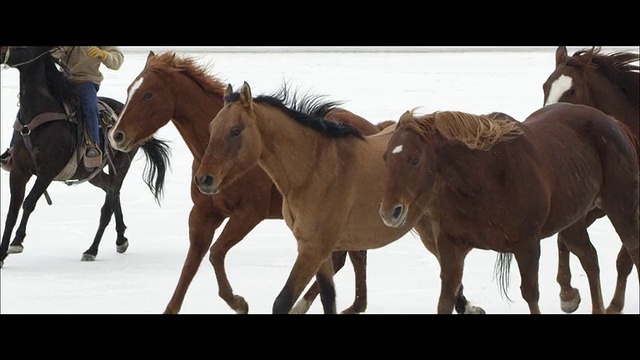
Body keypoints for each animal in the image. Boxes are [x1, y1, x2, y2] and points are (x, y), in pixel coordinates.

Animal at [0, 46, 170, 268]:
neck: (39, 115)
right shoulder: (19, 171)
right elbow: (12, 212)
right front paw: (1, 254)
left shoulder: (47, 171)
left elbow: (29, 203)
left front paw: (17, 242)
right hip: (92, 173)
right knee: (111, 193)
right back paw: (121, 239)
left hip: (121, 165)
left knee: (108, 205)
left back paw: (92, 250)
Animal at [107, 52, 392, 314]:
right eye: (130, 89)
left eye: (148, 95)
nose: (116, 136)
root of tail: (376, 128)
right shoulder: (203, 214)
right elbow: (191, 265)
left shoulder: (248, 214)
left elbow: (216, 253)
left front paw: (238, 302)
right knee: (348, 256)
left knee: (348, 257)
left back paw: (311, 304)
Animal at [378, 103, 636, 312]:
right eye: (385, 158)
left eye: (415, 159)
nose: (390, 212)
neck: (483, 179)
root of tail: (612, 121)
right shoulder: (451, 245)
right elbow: (446, 299)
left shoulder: (527, 245)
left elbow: (531, 294)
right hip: (573, 220)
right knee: (589, 258)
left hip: (620, 207)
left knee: (631, 251)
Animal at [544, 45, 636, 314]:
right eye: (546, 86)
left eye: (572, 90)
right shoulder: (592, 205)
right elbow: (564, 238)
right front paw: (567, 294)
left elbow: (624, 258)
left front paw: (614, 305)